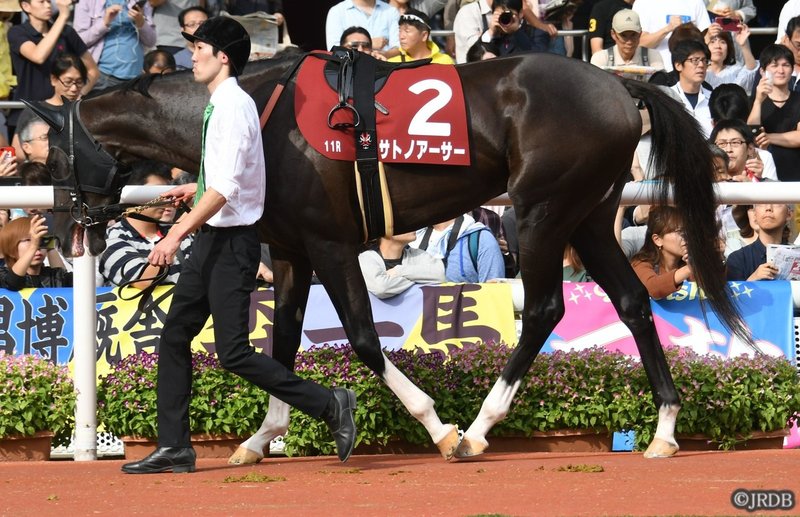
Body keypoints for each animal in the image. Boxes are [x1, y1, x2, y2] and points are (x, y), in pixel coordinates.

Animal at [36, 52, 752, 462]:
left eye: (56, 160)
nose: (66, 231)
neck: (262, 116)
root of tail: (618, 86)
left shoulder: (329, 244)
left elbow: (359, 336)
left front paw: (435, 425)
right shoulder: (290, 251)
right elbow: (280, 344)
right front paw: (259, 439)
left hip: (543, 209)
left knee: (547, 307)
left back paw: (479, 429)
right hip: (591, 216)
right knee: (631, 301)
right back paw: (664, 430)